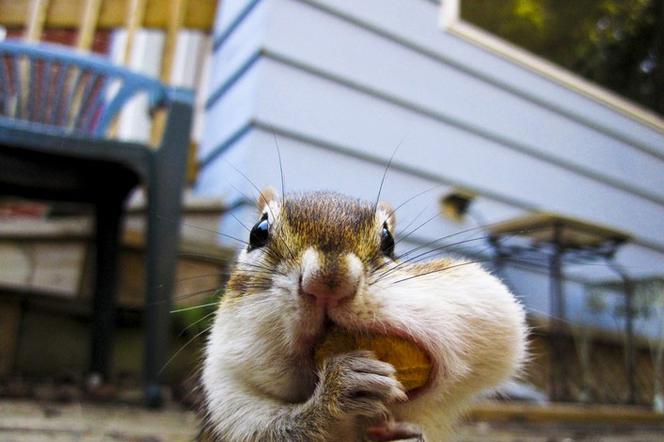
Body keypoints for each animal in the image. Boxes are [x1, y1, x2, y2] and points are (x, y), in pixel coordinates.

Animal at [200, 188, 528, 440]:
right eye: (259, 232)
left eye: (389, 240)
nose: (328, 281)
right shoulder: (229, 402)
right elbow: (276, 431)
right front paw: (342, 387)